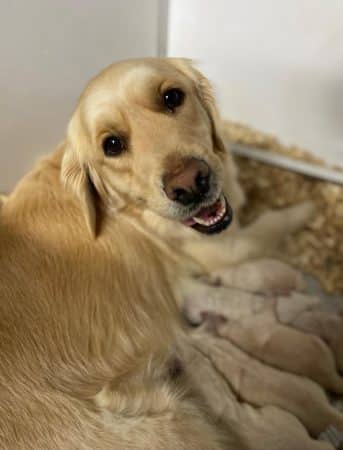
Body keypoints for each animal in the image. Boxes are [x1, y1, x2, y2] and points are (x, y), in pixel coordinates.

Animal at [0, 58, 318, 448]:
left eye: (172, 97)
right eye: (112, 145)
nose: (189, 184)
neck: (127, 211)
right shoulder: (226, 248)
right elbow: (274, 222)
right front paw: (307, 209)